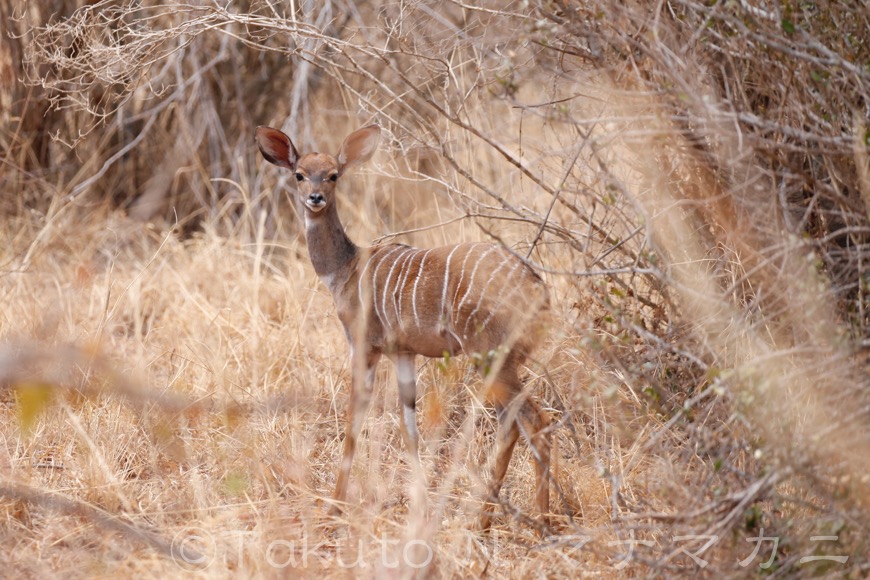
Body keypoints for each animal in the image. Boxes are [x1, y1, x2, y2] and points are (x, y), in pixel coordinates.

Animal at [255, 122, 552, 532]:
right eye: (299, 174)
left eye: (333, 175)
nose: (315, 198)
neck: (346, 270)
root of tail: (538, 289)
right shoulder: (404, 354)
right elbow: (409, 427)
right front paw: (422, 507)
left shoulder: (364, 346)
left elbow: (354, 420)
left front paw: (334, 508)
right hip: (500, 361)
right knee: (513, 423)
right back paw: (487, 519)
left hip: (490, 355)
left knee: (533, 421)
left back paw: (541, 521)